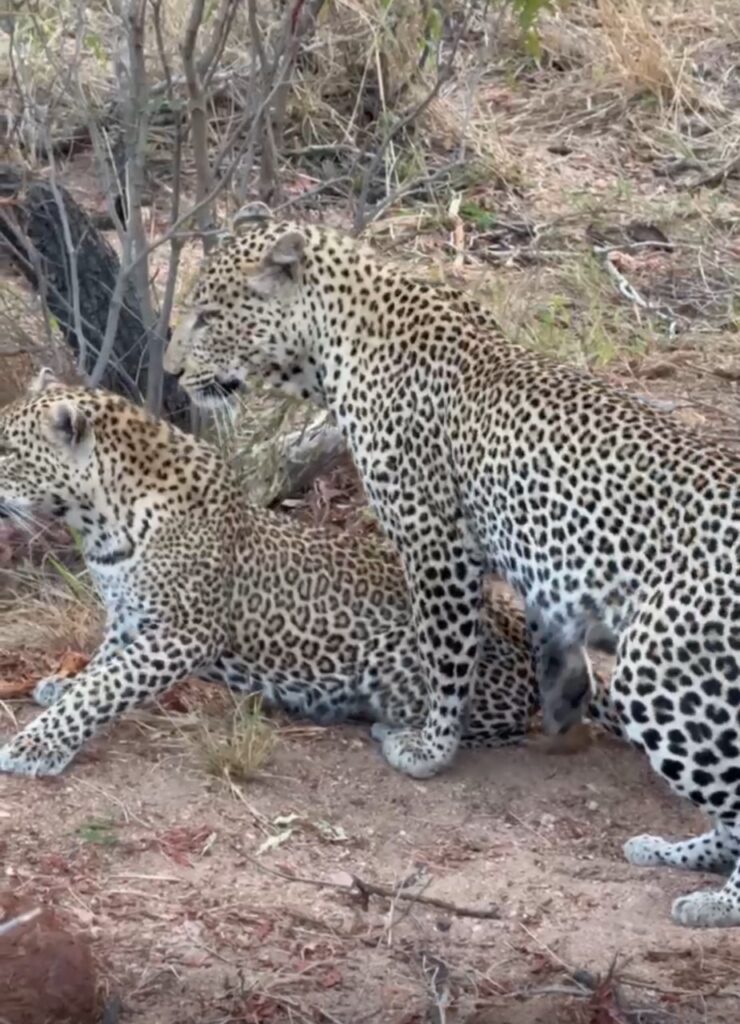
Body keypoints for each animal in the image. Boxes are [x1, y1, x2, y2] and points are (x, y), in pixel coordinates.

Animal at [0, 372, 621, 783]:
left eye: (6, 451)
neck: (99, 519)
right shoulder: (129, 617)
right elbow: (104, 668)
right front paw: (63, 686)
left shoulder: (185, 632)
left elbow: (107, 687)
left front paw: (36, 744)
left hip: (401, 659)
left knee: (499, 716)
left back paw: (399, 732)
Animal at [163, 204, 740, 929]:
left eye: (208, 315)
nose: (170, 373)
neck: (334, 341)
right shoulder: (532, 567)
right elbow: (548, 637)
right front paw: (563, 705)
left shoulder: (433, 540)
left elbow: (446, 654)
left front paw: (429, 748)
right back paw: (671, 852)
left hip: (664, 674)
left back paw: (714, 900)